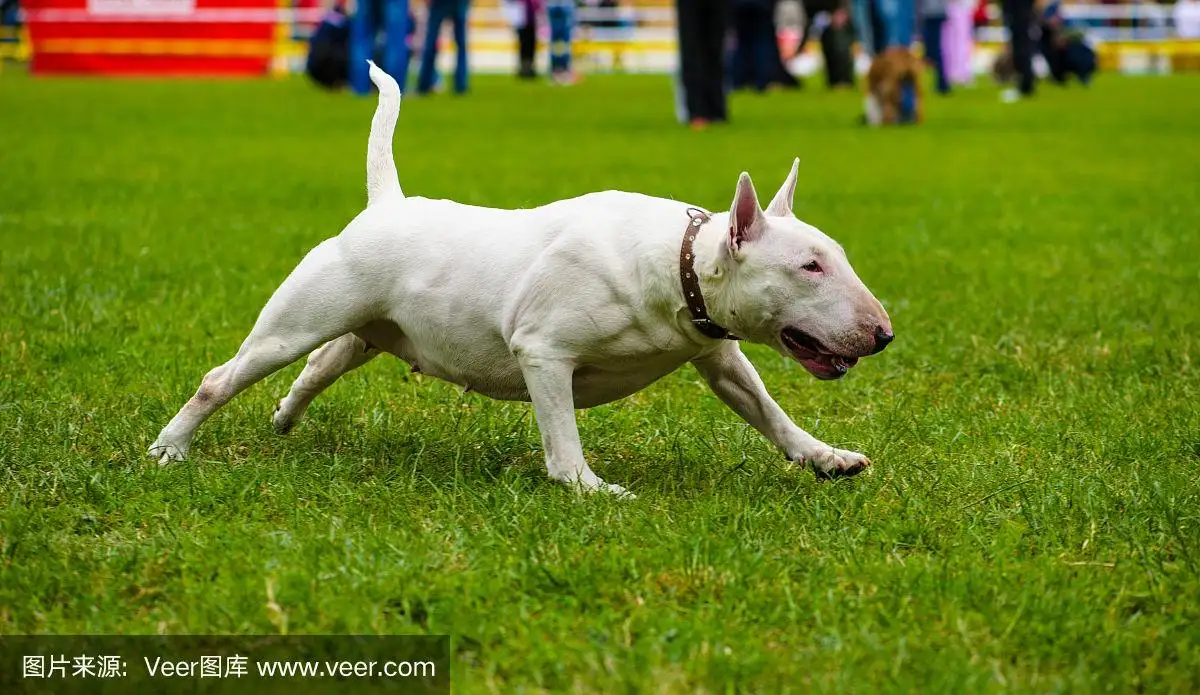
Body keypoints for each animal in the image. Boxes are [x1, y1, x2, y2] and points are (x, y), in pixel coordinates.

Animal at [147, 61, 892, 494]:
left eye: (834, 254)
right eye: (809, 266)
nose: (883, 335)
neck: (677, 264)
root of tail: (387, 203)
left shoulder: (716, 353)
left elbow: (766, 409)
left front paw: (825, 457)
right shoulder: (544, 351)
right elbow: (561, 442)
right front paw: (591, 488)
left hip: (367, 329)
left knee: (320, 364)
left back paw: (285, 415)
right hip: (297, 319)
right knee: (225, 376)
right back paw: (169, 449)